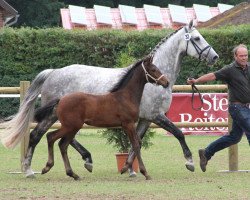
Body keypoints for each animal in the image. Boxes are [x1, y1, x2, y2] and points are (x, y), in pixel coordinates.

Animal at [0, 20, 219, 177]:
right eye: (197, 38)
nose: (215, 57)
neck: (145, 83)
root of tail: (53, 72)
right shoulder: (156, 115)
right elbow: (178, 133)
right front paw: (190, 162)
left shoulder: (144, 119)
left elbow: (137, 142)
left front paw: (128, 169)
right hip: (55, 115)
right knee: (40, 135)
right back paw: (30, 170)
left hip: (62, 116)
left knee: (59, 137)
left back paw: (86, 160)